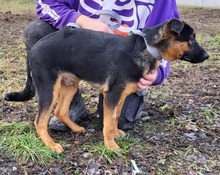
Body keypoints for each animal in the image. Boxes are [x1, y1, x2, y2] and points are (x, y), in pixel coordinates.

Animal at [4, 19, 208, 152]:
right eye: (191, 39)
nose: (207, 56)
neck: (147, 48)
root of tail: (33, 49)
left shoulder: (121, 95)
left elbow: (115, 117)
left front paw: (115, 133)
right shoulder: (112, 95)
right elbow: (108, 122)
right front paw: (111, 146)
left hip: (70, 84)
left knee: (61, 111)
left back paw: (76, 129)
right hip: (49, 88)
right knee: (40, 121)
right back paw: (51, 145)